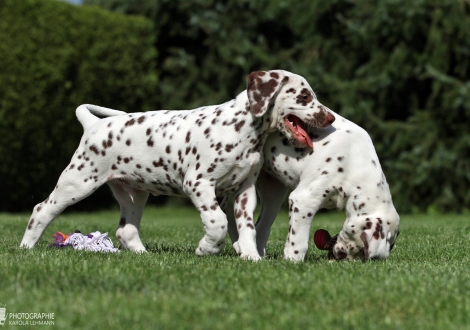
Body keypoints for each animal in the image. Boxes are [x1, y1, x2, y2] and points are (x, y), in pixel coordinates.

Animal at [18, 70, 334, 260]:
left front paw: (251, 257)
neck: (240, 129)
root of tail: (94, 123)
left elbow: (246, 228)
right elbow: (218, 222)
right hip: (78, 181)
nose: (330, 118)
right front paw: (207, 248)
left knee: (125, 230)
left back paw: (143, 255)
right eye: (304, 96)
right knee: (41, 210)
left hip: (133, 193)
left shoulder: (244, 191)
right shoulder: (199, 184)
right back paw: (26, 248)